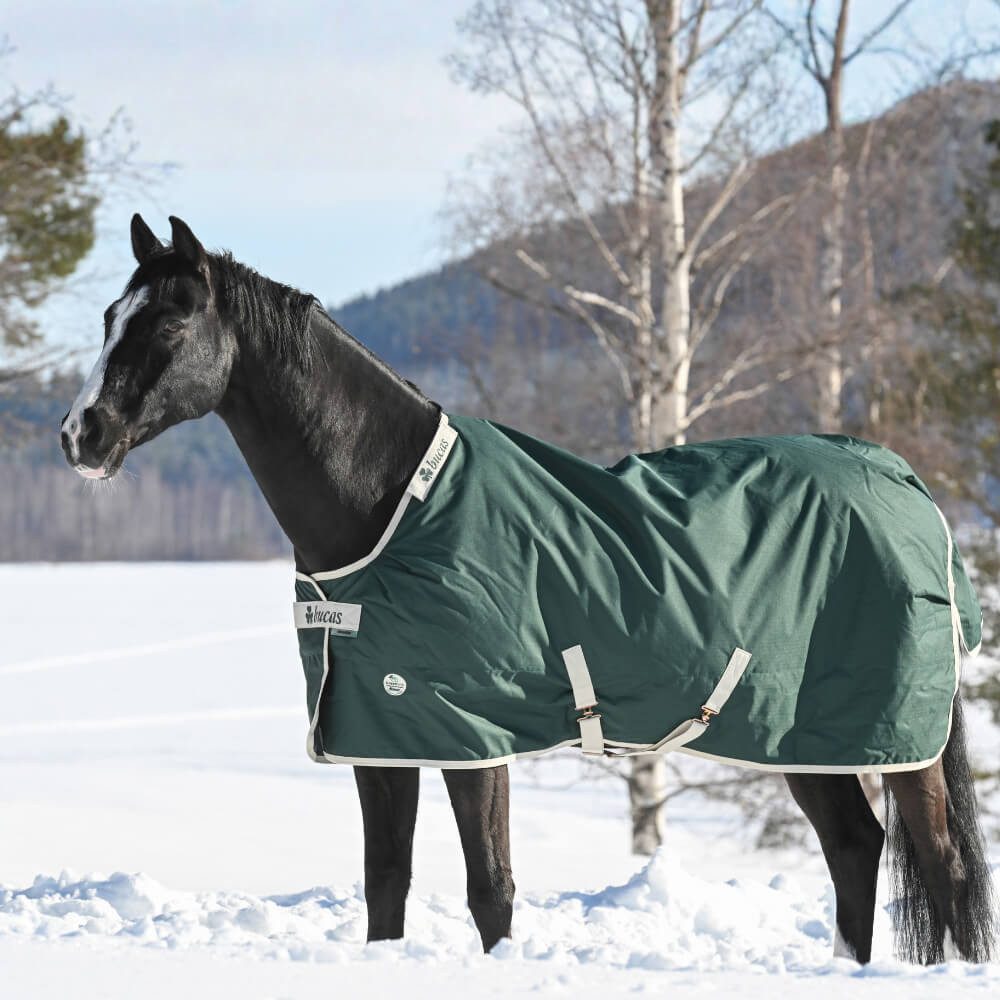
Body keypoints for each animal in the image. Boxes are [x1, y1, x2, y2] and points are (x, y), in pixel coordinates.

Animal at [59, 214, 995, 966]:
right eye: (110, 318)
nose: (81, 434)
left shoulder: (475, 736)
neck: (393, 502)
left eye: (170, 320)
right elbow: (385, 884)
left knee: (939, 865)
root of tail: (903, 481)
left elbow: (491, 889)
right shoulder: (380, 733)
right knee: (854, 846)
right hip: (803, 733)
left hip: (889, 734)